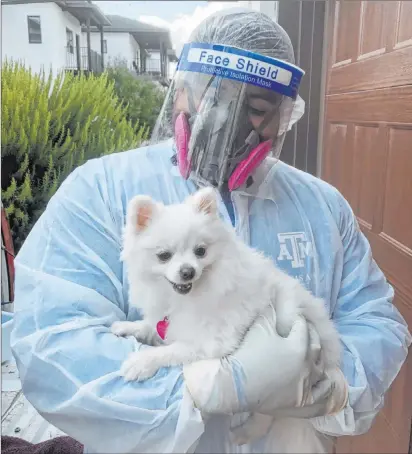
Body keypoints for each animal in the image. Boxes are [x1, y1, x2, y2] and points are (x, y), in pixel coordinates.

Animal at [111, 187, 342, 450]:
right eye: (164, 256)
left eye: (201, 251)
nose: (188, 271)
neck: (186, 296)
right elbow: (152, 327)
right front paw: (129, 326)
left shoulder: (210, 343)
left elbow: (169, 351)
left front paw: (141, 362)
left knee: (269, 413)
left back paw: (246, 432)